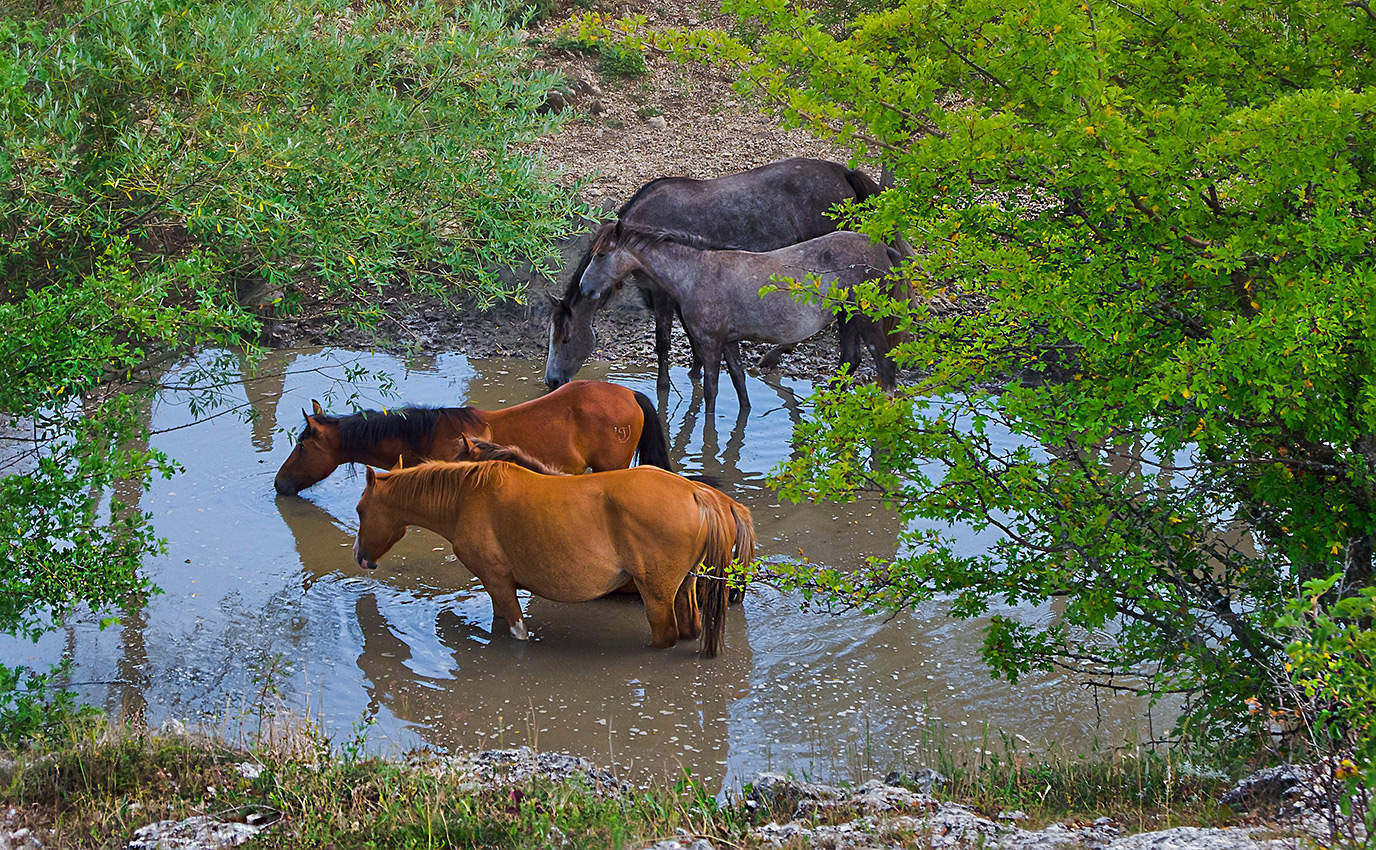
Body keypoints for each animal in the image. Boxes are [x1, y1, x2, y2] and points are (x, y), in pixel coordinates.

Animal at [346, 459, 754, 651]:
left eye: (361, 510)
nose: (360, 557)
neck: (466, 499)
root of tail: (696, 492)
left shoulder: (498, 581)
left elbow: (517, 632)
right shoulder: (499, 587)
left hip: (656, 594)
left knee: (665, 635)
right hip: (685, 586)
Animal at [575, 220, 897, 412]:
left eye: (601, 255)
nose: (584, 288)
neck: (695, 273)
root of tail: (881, 248)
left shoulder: (710, 343)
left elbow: (711, 391)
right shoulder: (729, 341)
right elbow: (740, 385)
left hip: (865, 319)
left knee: (884, 365)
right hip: (847, 318)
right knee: (849, 361)